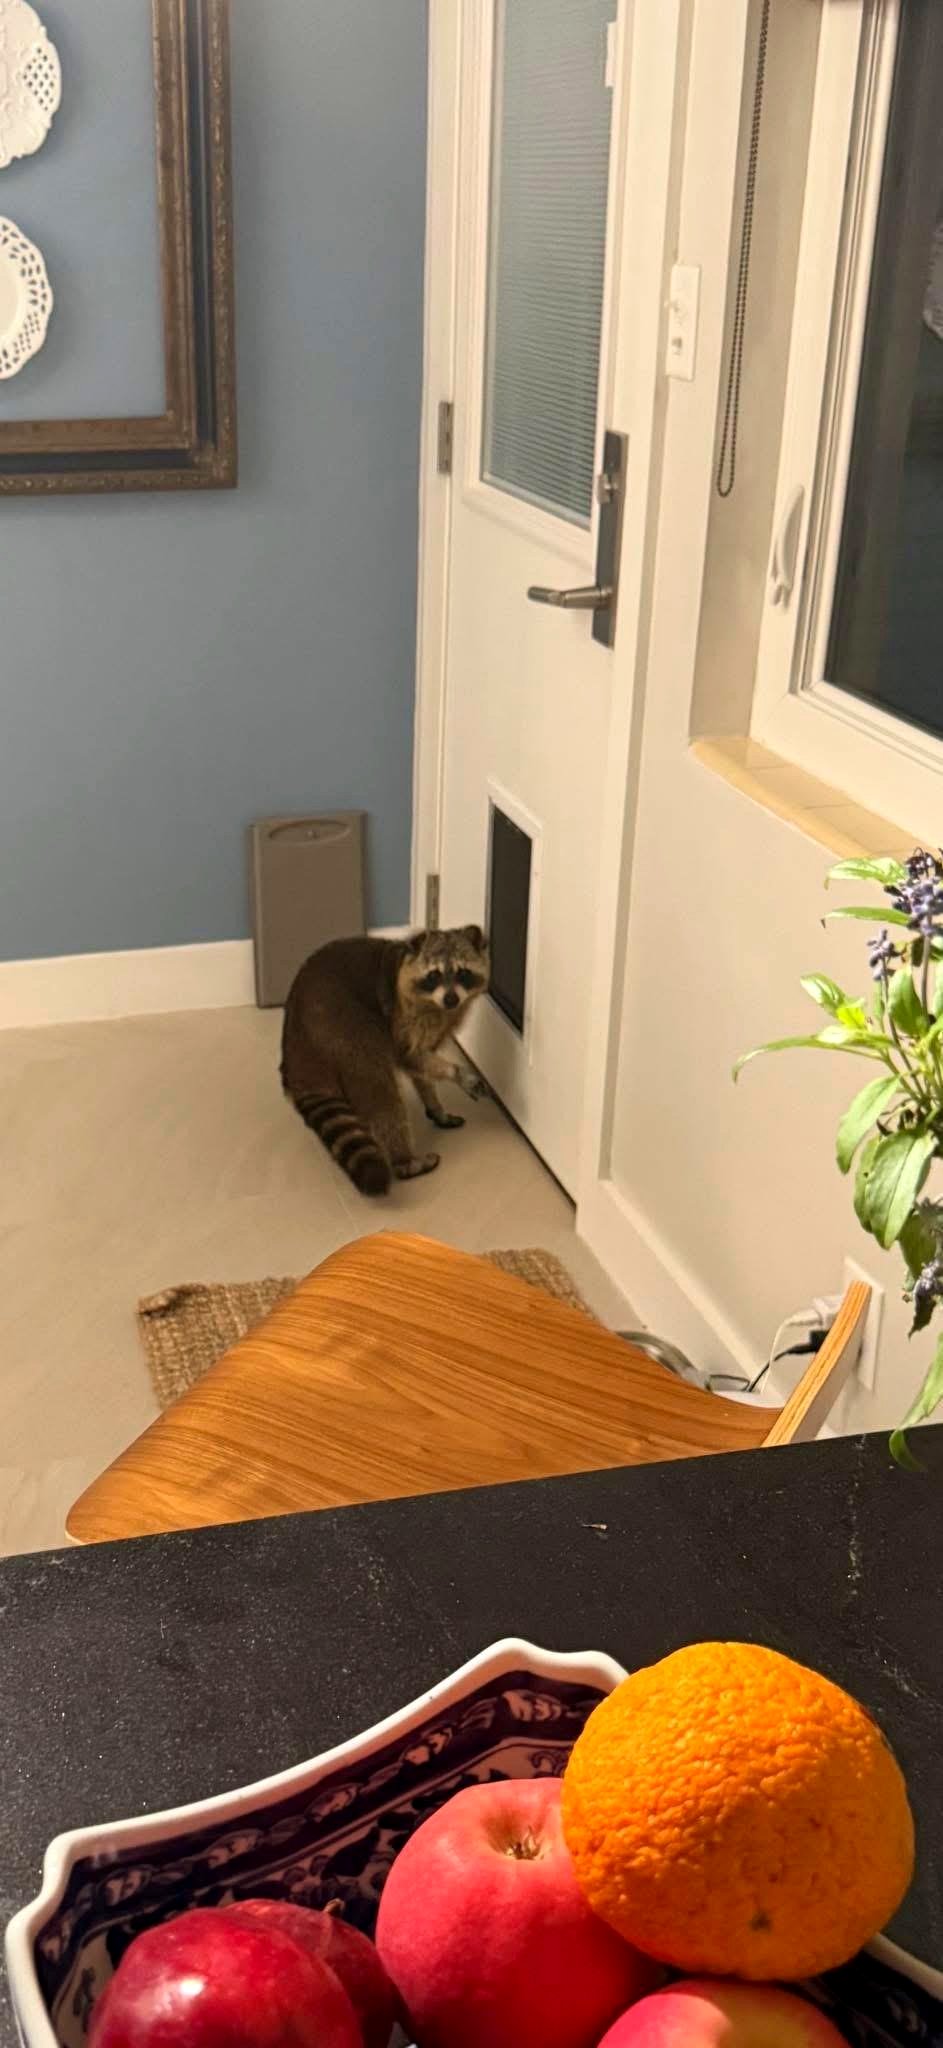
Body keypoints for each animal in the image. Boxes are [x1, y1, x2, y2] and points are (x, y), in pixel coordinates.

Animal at [280, 926, 490, 1196]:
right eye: (434, 975)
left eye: (463, 972)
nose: (451, 999)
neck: (437, 1006)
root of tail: (296, 1048)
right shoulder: (403, 1017)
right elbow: (409, 1056)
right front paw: (457, 1073)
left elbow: (420, 1067)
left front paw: (434, 1104)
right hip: (344, 1028)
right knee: (379, 1088)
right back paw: (405, 1162)